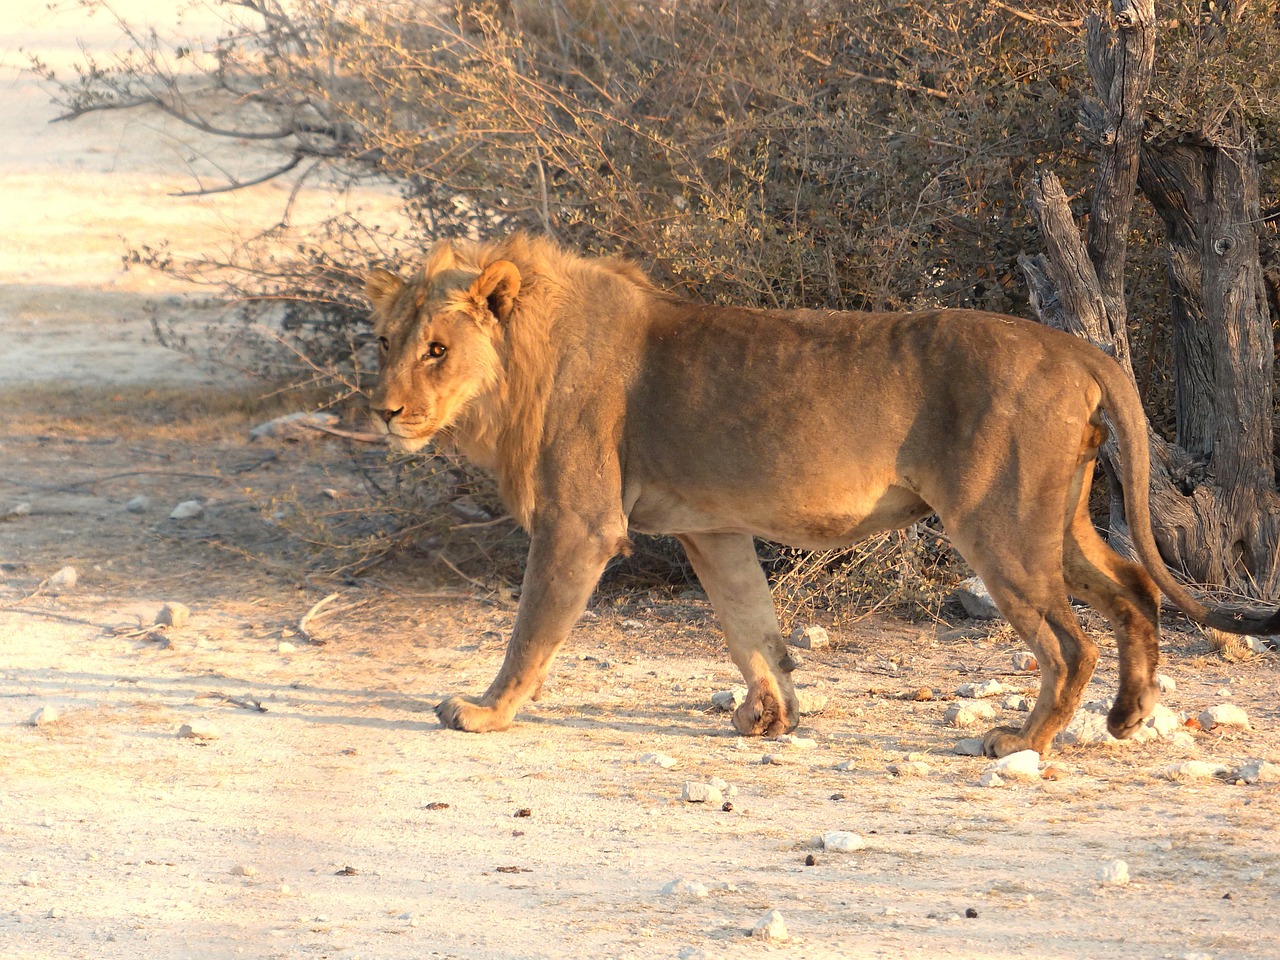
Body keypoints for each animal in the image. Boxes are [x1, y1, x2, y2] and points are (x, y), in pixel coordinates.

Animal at [363, 232, 1280, 757]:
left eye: (438, 349)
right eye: (385, 343)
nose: (384, 410)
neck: (521, 364)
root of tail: (1076, 346)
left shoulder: (579, 524)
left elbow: (531, 633)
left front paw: (483, 712)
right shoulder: (712, 529)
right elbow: (752, 628)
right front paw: (768, 717)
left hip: (1001, 524)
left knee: (1068, 641)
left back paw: (1023, 738)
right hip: (1056, 521)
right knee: (1133, 592)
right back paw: (1125, 719)